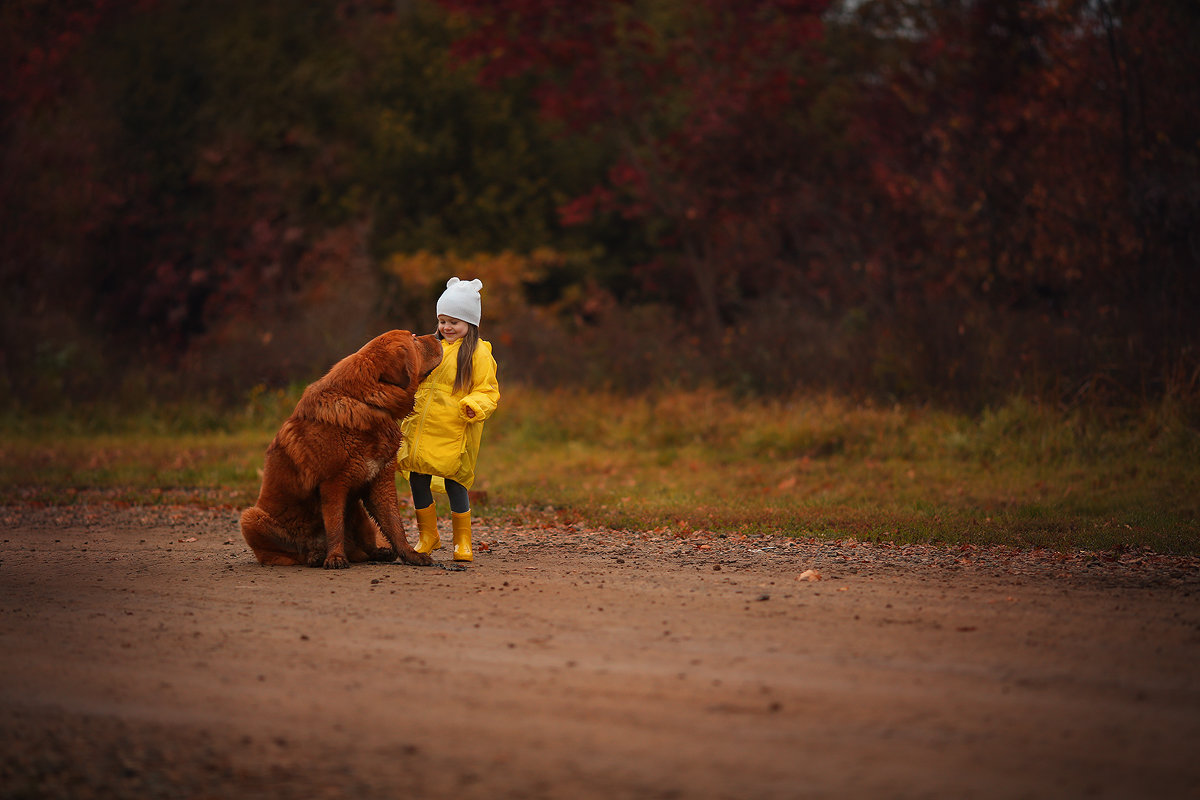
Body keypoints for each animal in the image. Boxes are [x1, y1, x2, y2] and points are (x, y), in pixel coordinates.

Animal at [238, 328, 441, 566]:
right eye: (415, 339)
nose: (438, 335)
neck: (365, 401)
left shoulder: (380, 482)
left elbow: (395, 525)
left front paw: (410, 554)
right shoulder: (333, 483)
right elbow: (335, 524)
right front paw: (335, 557)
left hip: (358, 513)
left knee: (363, 547)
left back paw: (377, 552)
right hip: (250, 518)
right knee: (289, 554)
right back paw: (316, 555)